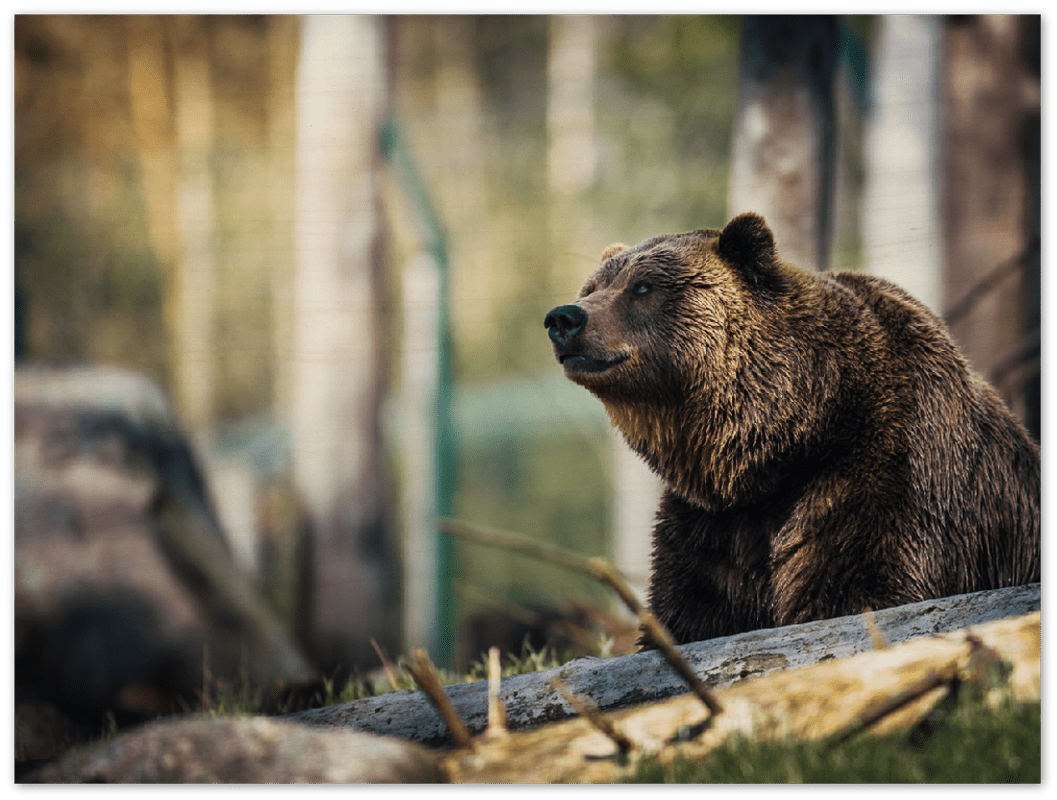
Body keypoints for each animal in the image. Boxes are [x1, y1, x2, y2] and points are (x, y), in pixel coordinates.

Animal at [544, 212, 1041, 646]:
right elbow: (690, 610)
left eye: (643, 286)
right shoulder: (712, 523)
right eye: (593, 286)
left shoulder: (886, 471)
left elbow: (860, 586)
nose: (564, 318)